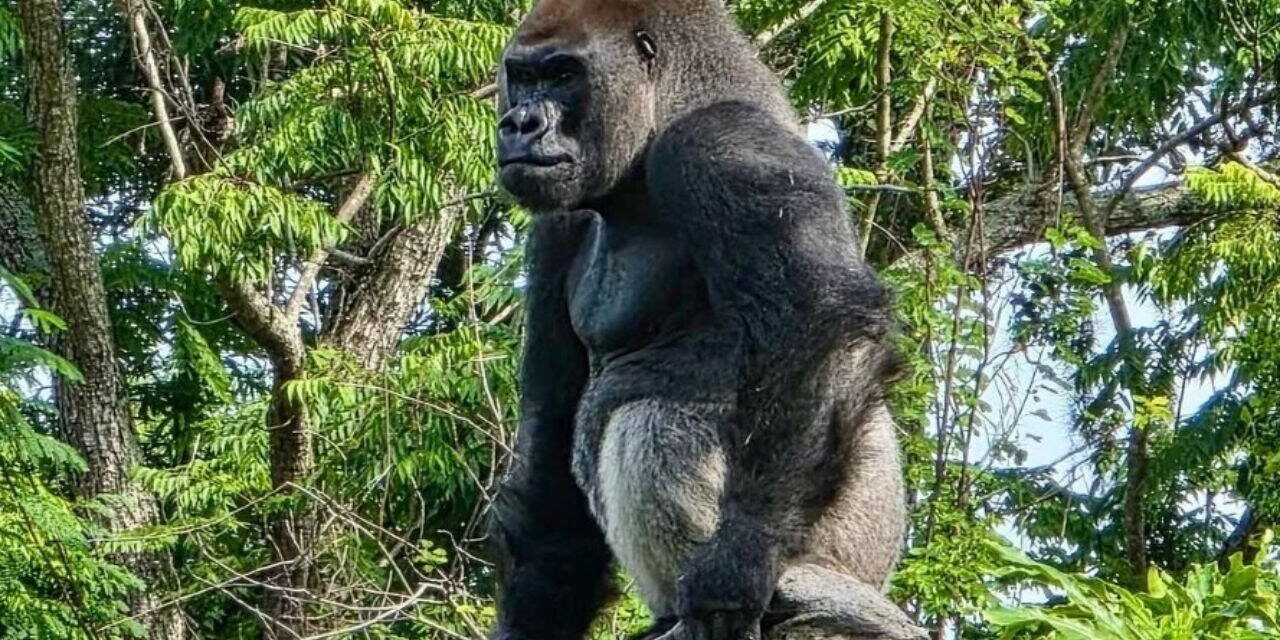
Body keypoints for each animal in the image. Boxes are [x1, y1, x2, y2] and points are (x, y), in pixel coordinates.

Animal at [487, 0, 918, 639]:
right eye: (523, 77)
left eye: (563, 75)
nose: (519, 124)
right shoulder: (556, 229)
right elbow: (551, 466)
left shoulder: (722, 144)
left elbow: (818, 319)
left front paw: (741, 561)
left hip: (850, 553)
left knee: (649, 420)